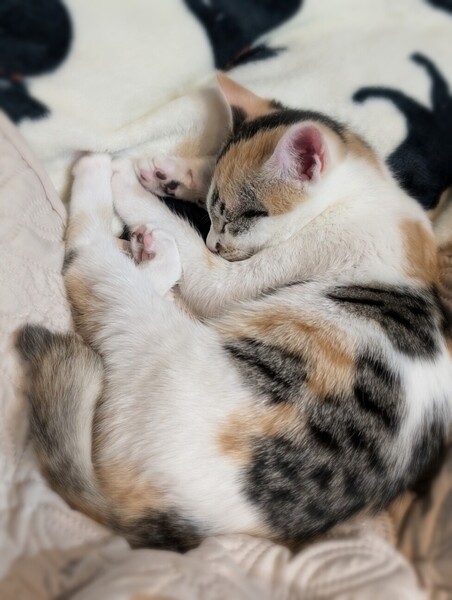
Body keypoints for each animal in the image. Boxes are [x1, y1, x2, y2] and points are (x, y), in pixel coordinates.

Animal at [16, 76, 452, 553]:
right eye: (212, 209)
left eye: (239, 217)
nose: (213, 242)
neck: (363, 196)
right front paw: (170, 172)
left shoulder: (268, 266)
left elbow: (208, 276)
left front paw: (128, 179)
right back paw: (150, 251)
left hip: (146, 341)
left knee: (89, 258)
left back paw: (101, 176)